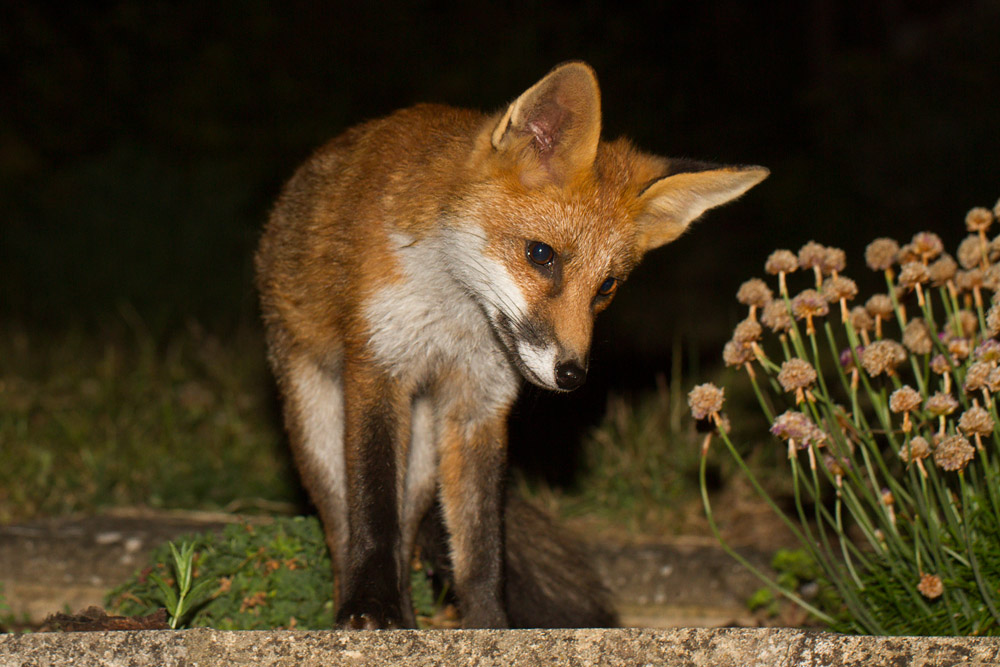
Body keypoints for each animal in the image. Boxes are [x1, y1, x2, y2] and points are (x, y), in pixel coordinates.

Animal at [255, 61, 767, 629]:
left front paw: (488, 626)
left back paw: (408, 614)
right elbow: (373, 508)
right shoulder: (378, 367)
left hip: (425, 450)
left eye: (606, 288)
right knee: (342, 525)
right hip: (317, 422)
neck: (454, 318)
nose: (572, 374)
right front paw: (370, 609)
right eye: (541, 255)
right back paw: (359, 604)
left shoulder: (479, 406)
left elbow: (481, 546)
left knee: (410, 529)